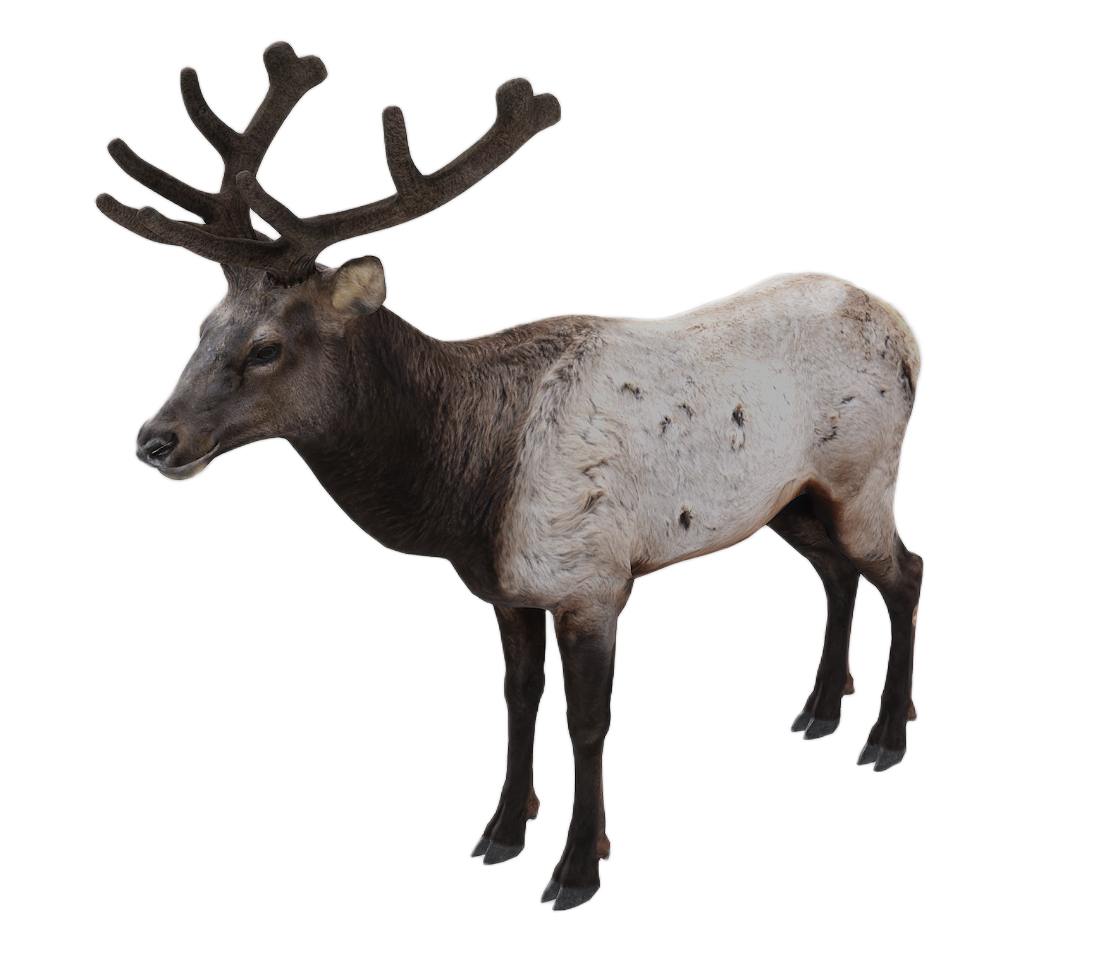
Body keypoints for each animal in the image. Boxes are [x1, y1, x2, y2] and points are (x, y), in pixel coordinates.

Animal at [94, 39, 925, 912]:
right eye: (202, 327)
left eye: (265, 348)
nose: (155, 439)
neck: (465, 496)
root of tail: (906, 328)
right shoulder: (505, 589)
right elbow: (517, 700)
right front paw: (500, 832)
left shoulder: (592, 577)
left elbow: (587, 724)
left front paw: (578, 867)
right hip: (790, 500)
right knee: (837, 574)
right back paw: (821, 709)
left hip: (866, 477)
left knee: (905, 570)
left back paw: (885, 736)